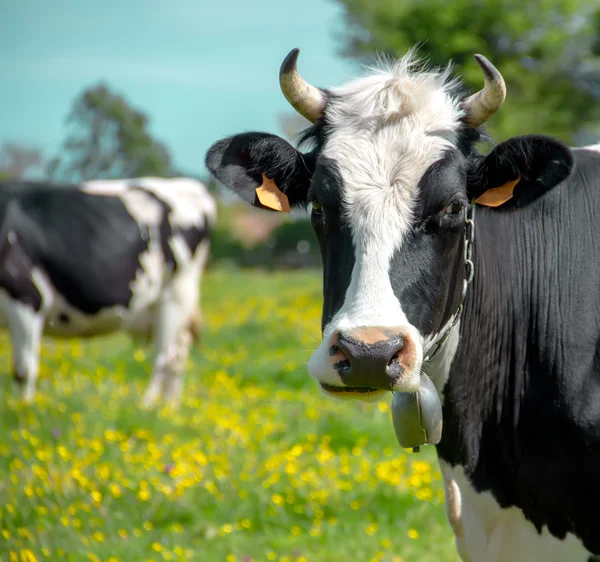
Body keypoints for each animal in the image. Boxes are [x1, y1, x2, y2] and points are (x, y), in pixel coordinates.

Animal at [0, 176, 216, 406]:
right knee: (178, 354)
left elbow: (23, 371)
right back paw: (169, 407)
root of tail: (187, 184)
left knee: (165, 356)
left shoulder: (27, 297)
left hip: (175, 296)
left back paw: (147, 406)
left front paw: (23, 409)